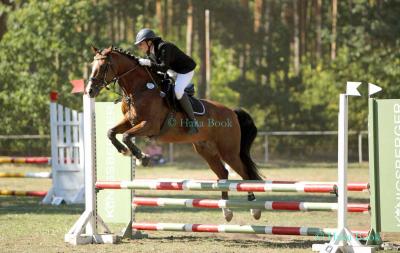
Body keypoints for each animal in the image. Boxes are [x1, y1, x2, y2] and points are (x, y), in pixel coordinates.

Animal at [86, 46, 264, 221]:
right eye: (92, 65)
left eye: (103, 66)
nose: (89, 91)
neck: (139, 89)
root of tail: (232, 112)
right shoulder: (130, 122)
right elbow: (111, 132)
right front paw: (124, 151)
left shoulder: (150, 125)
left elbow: (126, 136)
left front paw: (143, 157)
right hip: (206, 150)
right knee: (223, 173)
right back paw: (226, 211)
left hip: (228, 152)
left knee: (245, 173)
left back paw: (254, 209)